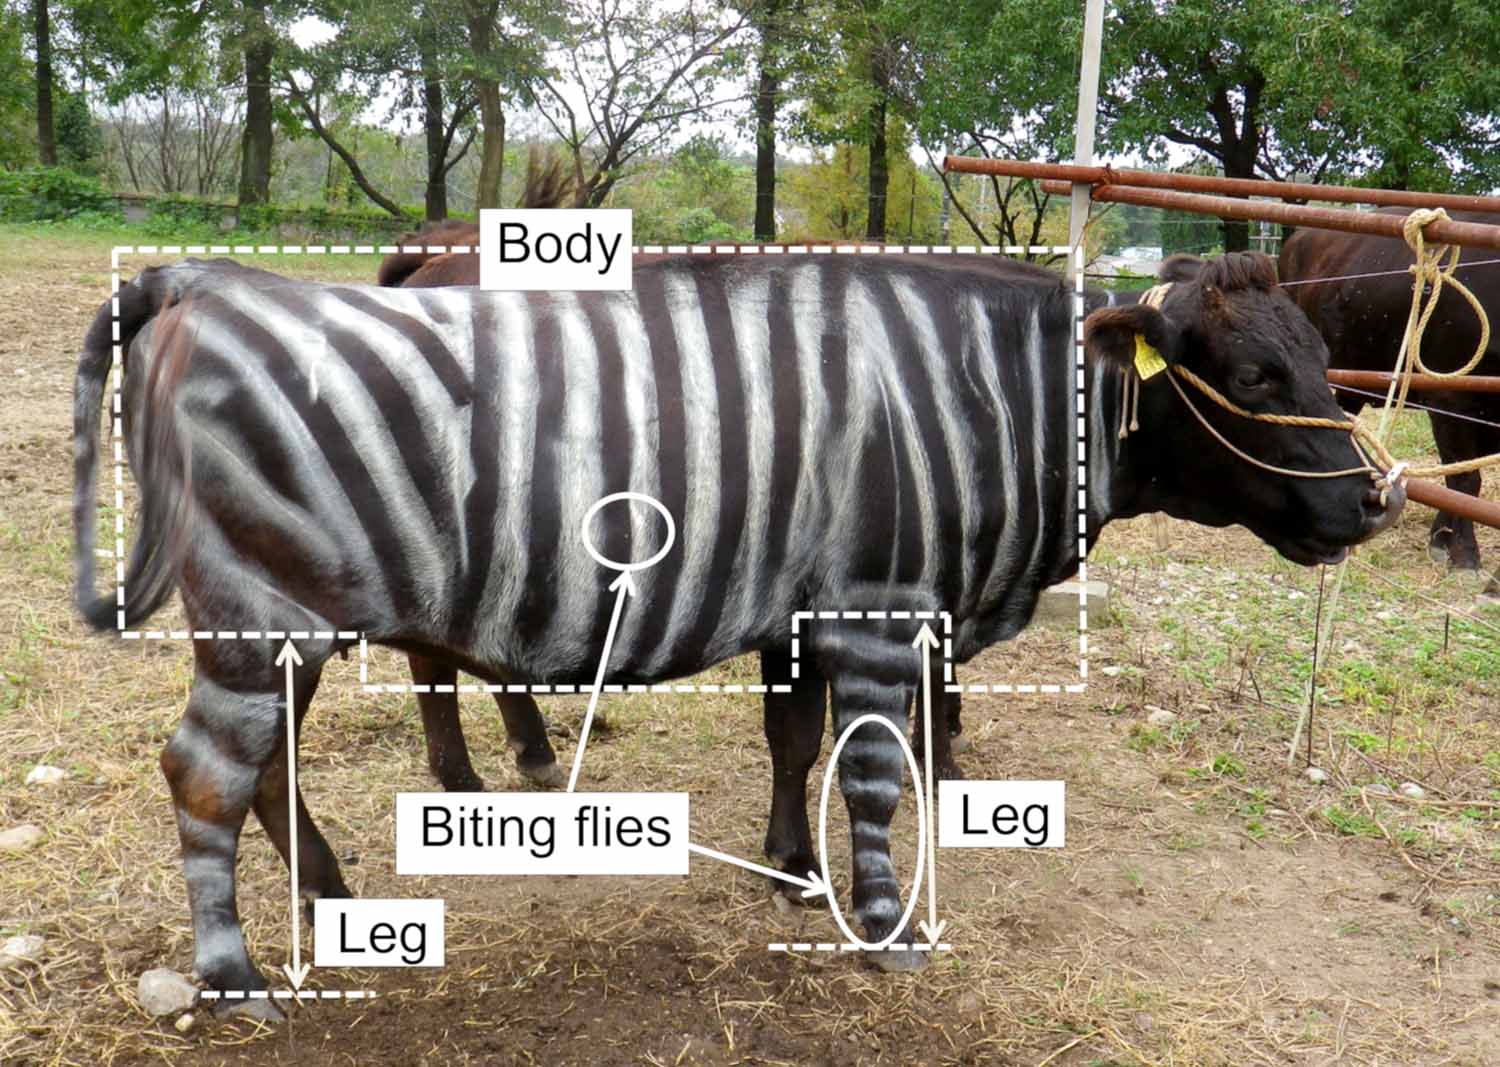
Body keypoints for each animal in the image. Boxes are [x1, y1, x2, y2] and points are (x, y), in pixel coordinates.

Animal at [73, 249, 1402, 1014]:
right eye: (1255, 379)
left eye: (1326, 368)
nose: (1379, 505)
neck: (985, 396)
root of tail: (203, 282)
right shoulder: (875, 609)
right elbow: (872, 772)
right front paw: (883, 925)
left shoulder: (803, 609)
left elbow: (793, 743)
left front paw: (793, 872)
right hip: (265, 613)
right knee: (205, 774)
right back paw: (235, 978)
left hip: (296, 621)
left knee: (263, 770)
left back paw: (331, 897)